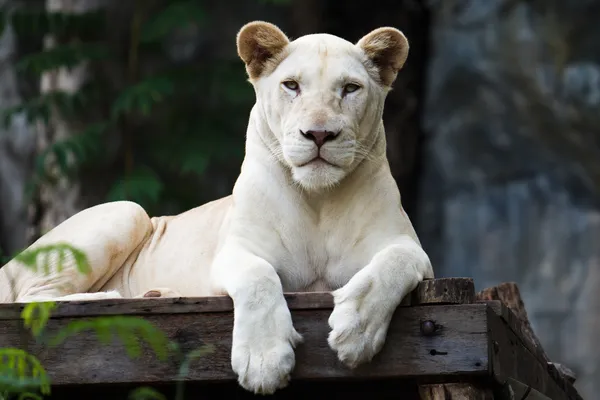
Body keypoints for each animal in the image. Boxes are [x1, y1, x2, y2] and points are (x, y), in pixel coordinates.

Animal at [0, 21, 432, 394]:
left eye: (350, 88)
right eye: (291, 86)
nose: (319, 134)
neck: (318, 200)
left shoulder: (411, 249)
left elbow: (394, 264)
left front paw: (356, 331)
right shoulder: (234, 252)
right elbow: (258, 278)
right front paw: (264, 360)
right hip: (127, 210)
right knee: (32, 299)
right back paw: (120, 297)